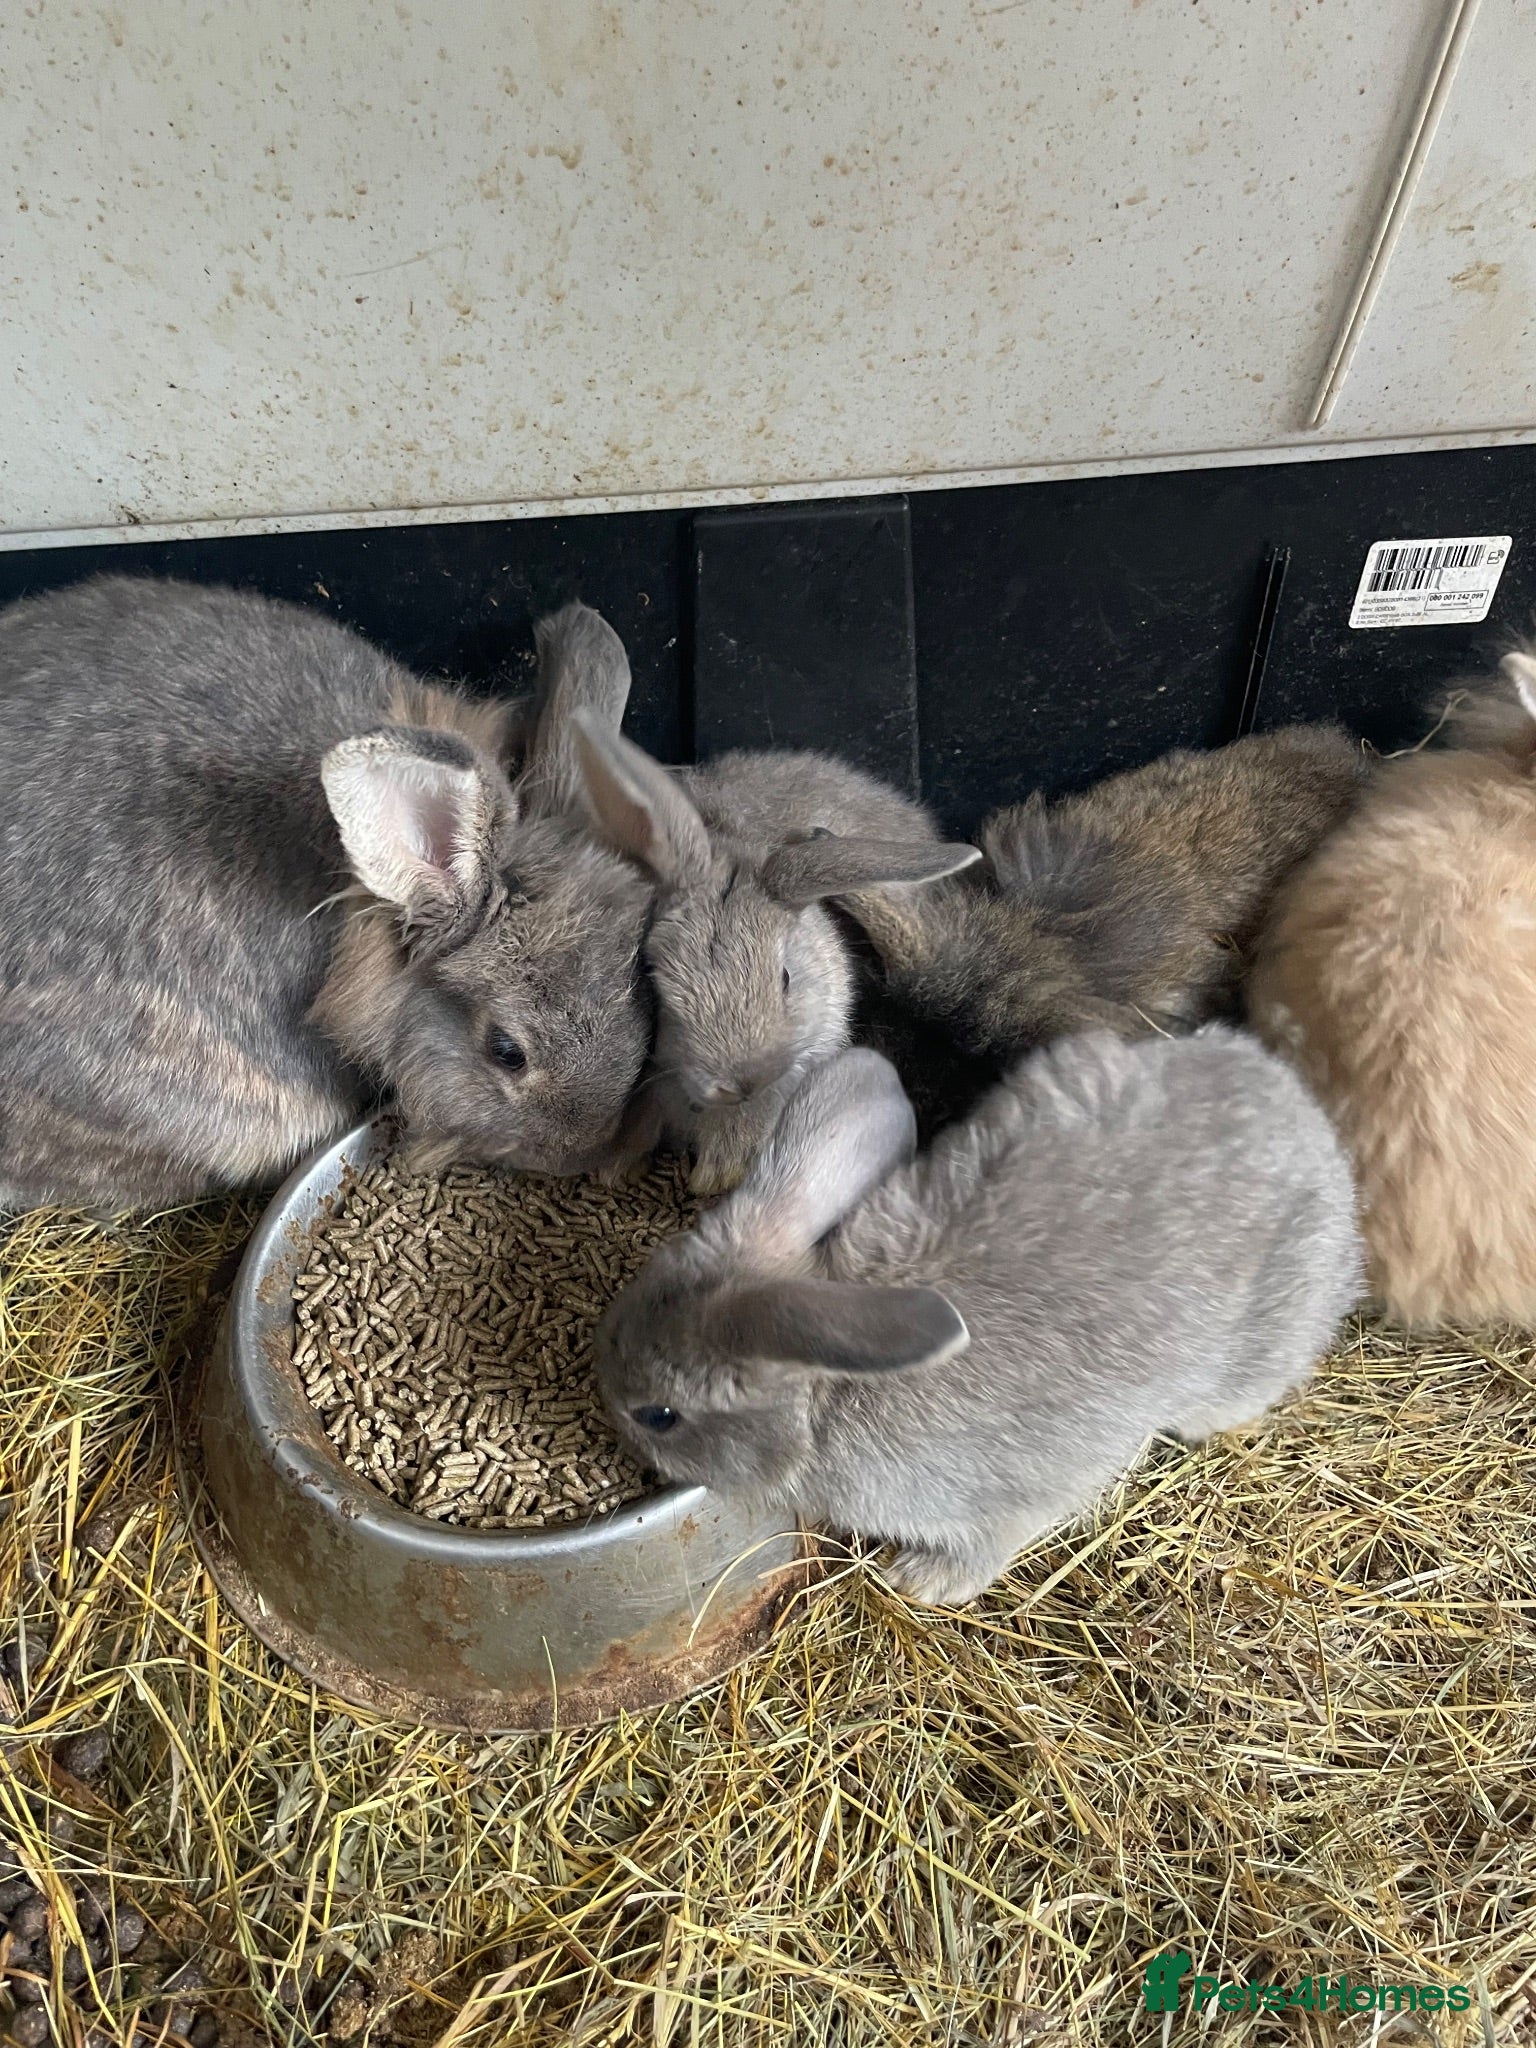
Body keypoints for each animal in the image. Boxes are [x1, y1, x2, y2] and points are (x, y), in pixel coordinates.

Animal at [594, 1027, 1362, 1606]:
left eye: (659, 1415)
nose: (605, 1405)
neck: (826, 1396)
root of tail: (1315, 1133)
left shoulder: (1009, 1498)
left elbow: (990, 1544)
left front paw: (919, 1581)